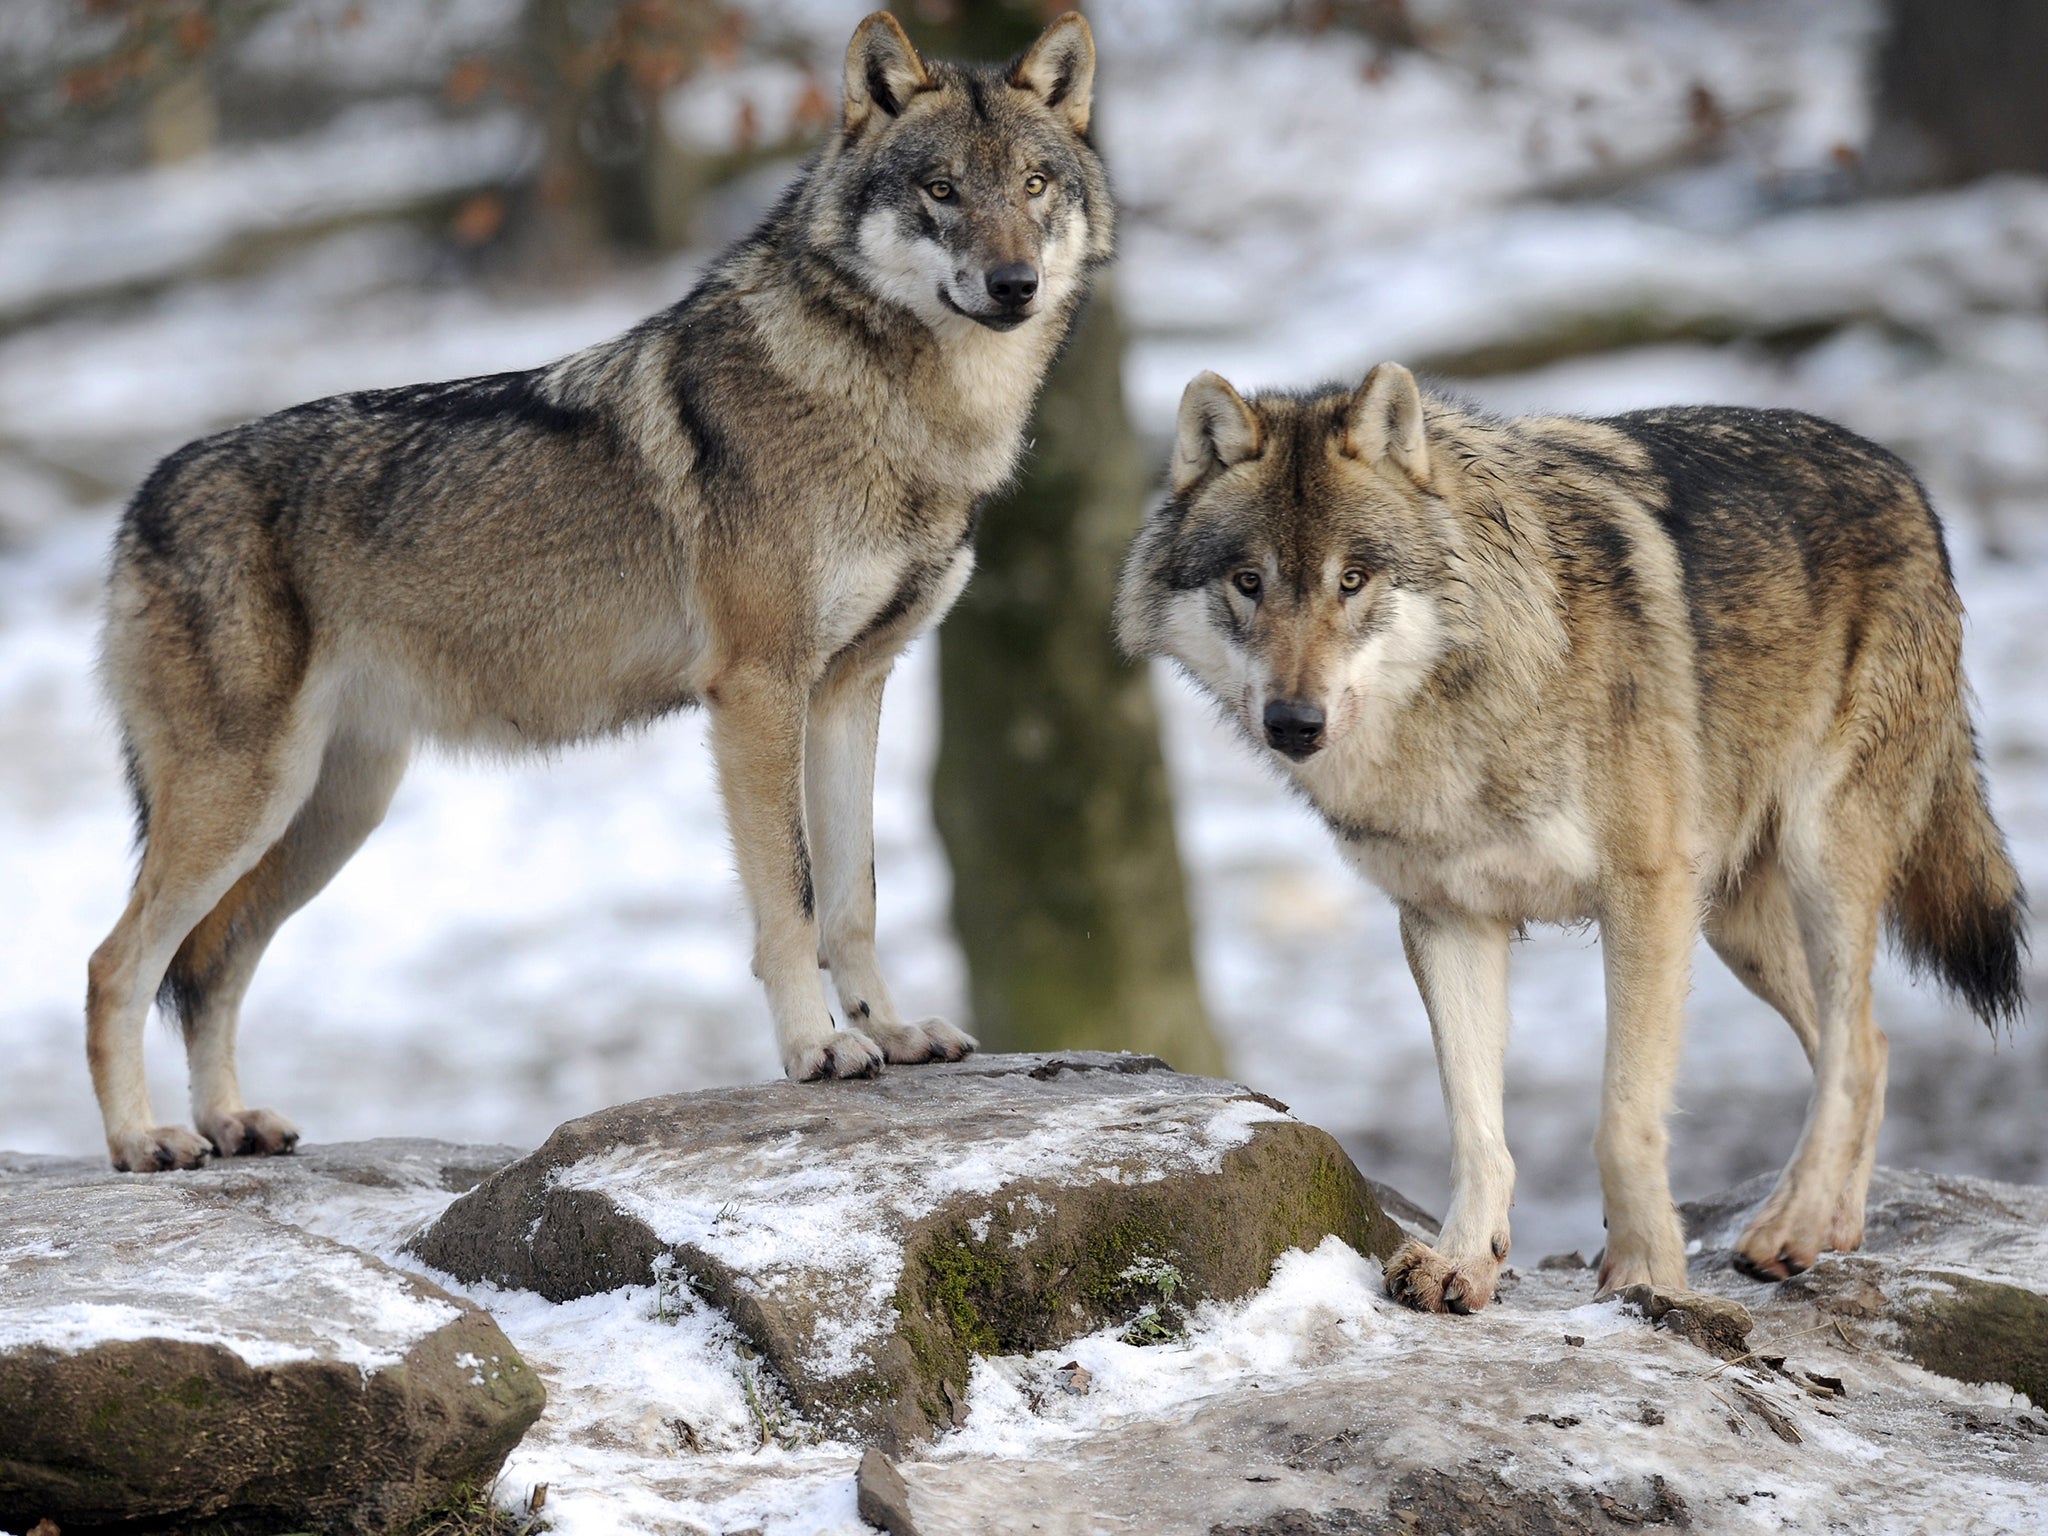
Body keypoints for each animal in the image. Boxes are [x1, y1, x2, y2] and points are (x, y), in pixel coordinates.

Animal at [86, 12, 1112, 1172]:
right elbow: (792, 898)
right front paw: (816, 1050)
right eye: (940, 188)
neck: (907, 418)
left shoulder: (852, 688)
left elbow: (855, 896)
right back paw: (144, 1142)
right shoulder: (757, 692)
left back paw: (230, 1123)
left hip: (326, 814)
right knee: (117, 964)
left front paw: (889, 1033)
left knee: (213, 964)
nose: (1013, 283)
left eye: (1032, 184)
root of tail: (143, 498)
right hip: (247, 801)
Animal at [1116, 362, 2026, 1309]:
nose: (1294, 721)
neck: (1459, 717)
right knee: (1870, 1047)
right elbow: (1475, 1125)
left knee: (1851, 1045)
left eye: (1354, 579)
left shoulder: (1646, 895)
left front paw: (1648, 1273)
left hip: (1818, 862)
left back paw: (1793, 1224)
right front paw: (1464, 1259)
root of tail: (1904, 477)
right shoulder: (1450, 916)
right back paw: (1834, 1226)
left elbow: (1624, 1119)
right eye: (1248, 582)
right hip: (1735, 924)